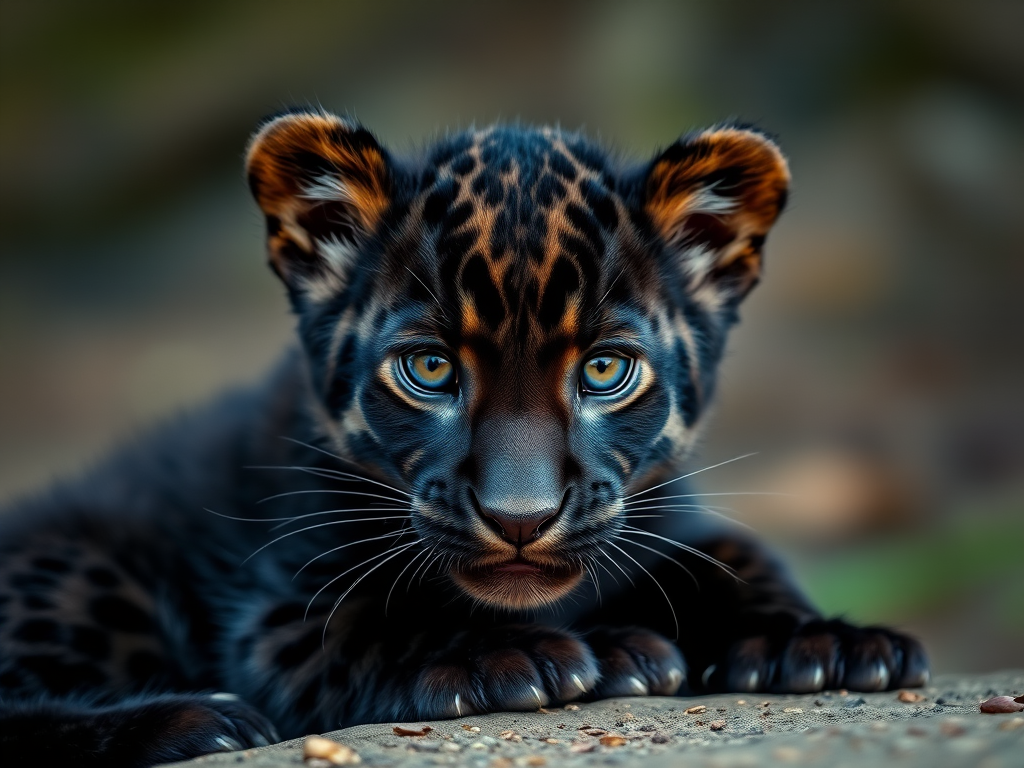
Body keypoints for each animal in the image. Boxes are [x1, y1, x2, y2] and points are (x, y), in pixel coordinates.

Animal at [0, 110, 929, 766]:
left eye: (605, 370)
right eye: (430, 369)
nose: (520, 519)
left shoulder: (670, 514)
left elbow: (737, 553)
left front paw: (822, 643)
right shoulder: (279, 614)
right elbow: (384, 620)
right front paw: (538, 657)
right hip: (83, 568)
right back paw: (200, 722)